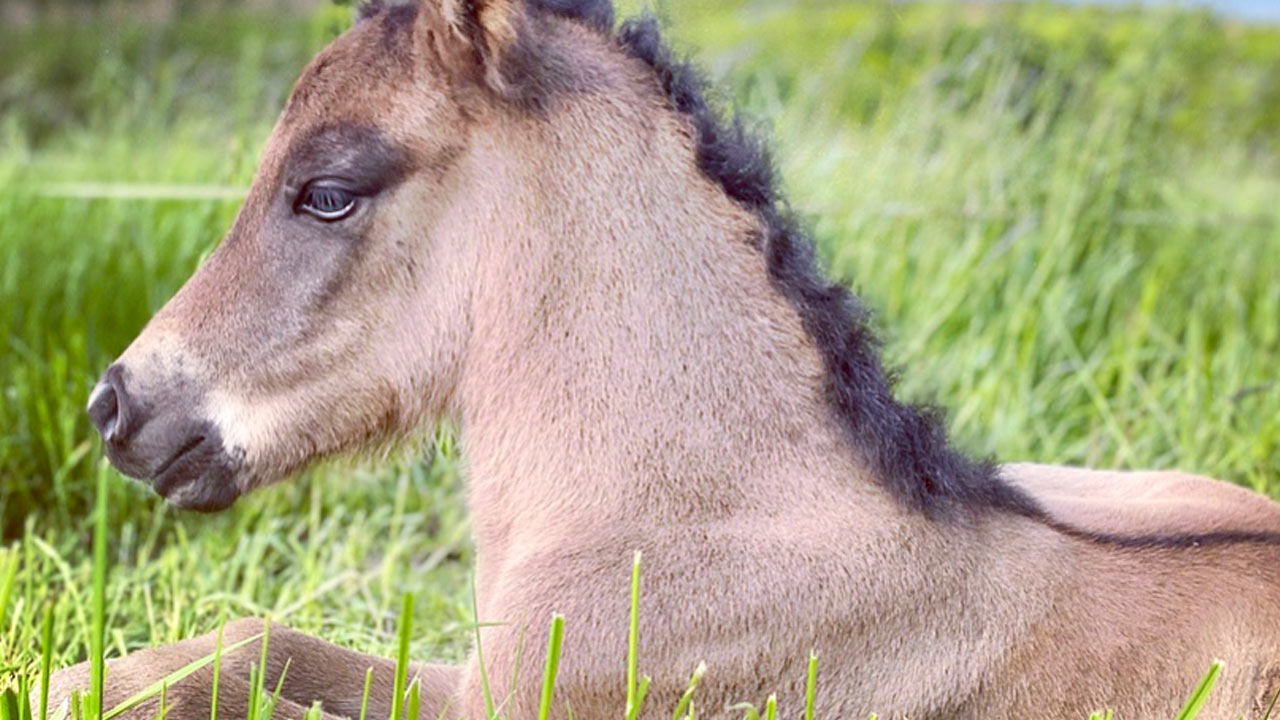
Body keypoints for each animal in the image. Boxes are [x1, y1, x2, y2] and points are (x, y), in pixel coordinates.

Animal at [47, 0, 1280, 712]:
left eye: (330, 190)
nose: (117, 405)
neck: (697, 521)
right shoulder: (480, 674)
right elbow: (260, 645)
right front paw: (78, 682)